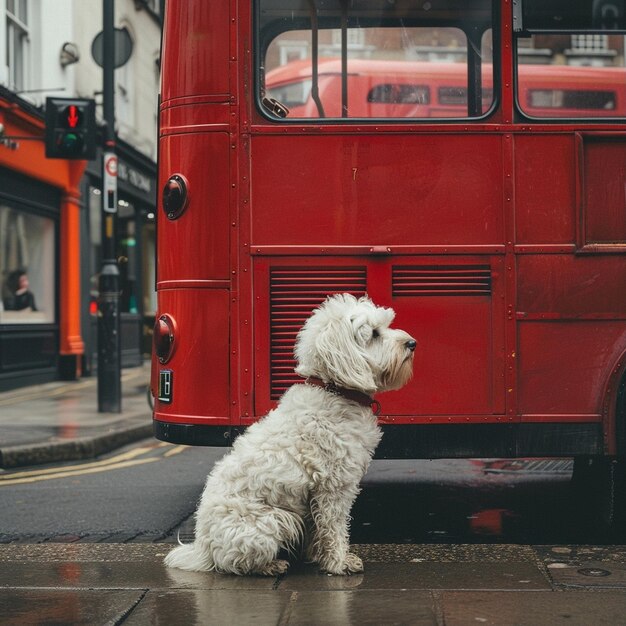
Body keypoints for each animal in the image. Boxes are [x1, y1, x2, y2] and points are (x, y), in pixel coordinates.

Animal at [165, 292, 414, 576]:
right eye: (373, 334)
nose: (412, 343)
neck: (335, 390)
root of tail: (202, 548)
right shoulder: (335, 487)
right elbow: (335, 527)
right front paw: (339, 562)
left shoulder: (318, 495)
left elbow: (319, 527)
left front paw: (319, 557)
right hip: (274, 519)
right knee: (235, 564)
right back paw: (271, 565)